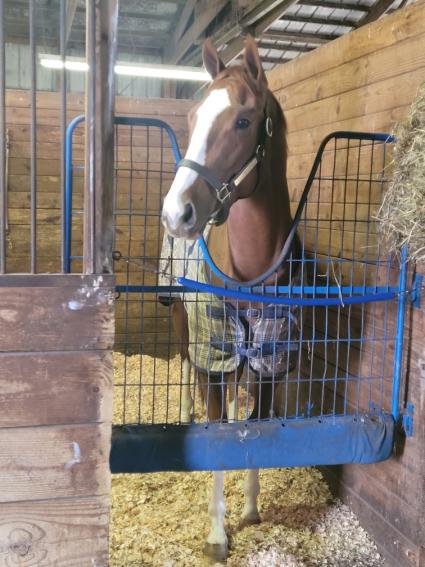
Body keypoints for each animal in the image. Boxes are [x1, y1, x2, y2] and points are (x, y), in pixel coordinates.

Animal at [161, 36, 296, 564]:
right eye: (194, 115)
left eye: (242, 121)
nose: (176, 213)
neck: (249, 270)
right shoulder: (211, 352)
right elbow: (217, 432)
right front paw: (218, 534)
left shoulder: (271, 359)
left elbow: (256, 425)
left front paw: (251, 509)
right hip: (184, 322)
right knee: (183, 361)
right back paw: (183, 412)